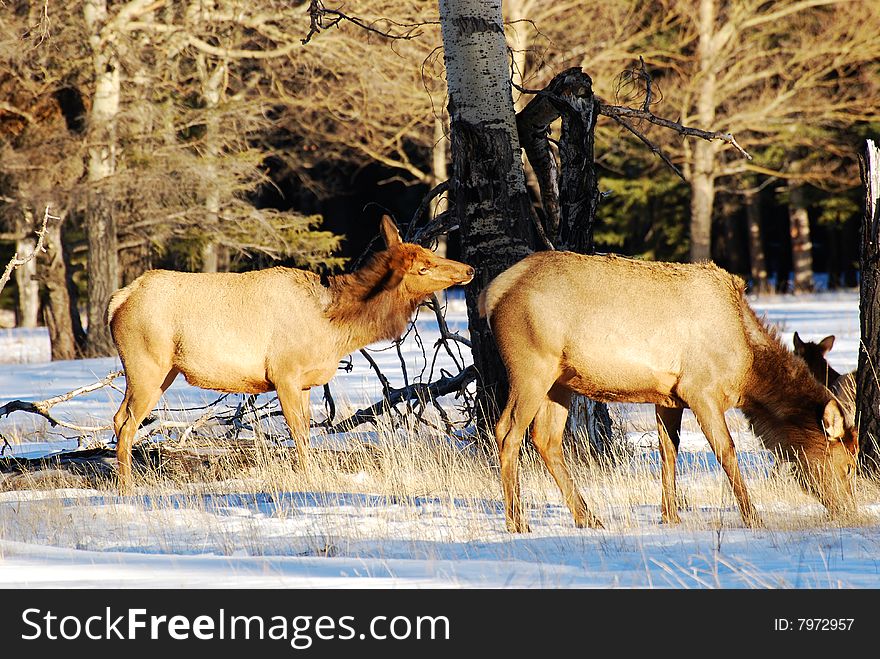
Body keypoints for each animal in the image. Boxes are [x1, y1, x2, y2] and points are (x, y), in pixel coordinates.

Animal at [108, 214, 474, 492]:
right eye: (423, 268)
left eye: (430, 253)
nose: (468, 269)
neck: (334, 330)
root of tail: (119, 299)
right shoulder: (284, 373)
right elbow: (297, 432)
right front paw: (308, 479)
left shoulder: (307, 381)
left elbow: (308, 432)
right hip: (146, 363)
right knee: (125, 422)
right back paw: (126, 488)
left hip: (164, 371)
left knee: (120, 418)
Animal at [482, 250, 860, 532]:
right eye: (848, 466)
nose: (848, 510)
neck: (747, 369)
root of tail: (491, 293)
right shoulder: (701, 389)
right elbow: (727, 451)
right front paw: (753, 517)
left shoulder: (669, 396)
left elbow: (669, 449)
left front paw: (670, 515)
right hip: (532, 366)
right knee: (507, 432)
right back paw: (518, 523)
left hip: (560, 381)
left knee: (546, 439)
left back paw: (587, 517)